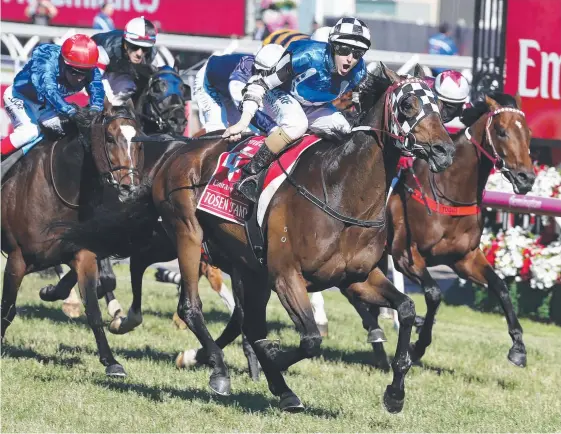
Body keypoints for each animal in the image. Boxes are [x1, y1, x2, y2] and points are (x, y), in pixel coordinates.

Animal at [2, 101, 142, 376]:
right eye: (110, 138)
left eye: (138, 141)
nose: (129, 188)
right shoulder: (17, 258)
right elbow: (7, 308)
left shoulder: (82, 252)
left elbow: (93, 308)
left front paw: (111, 361)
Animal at [57, 62, 456, 412]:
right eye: (408, 104)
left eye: (440, 109)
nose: (444, 151)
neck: (340, 190)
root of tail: (180, 148)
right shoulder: (286, 276)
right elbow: (308, 339)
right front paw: (272, 358)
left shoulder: (355, 278)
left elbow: (407, 309)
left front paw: (395, 393)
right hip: (187, 235)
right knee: (190, 306)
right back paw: (216, 369)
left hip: (241, 262)